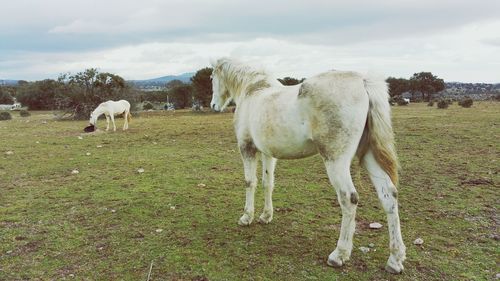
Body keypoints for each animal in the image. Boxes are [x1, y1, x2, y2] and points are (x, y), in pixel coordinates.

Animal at [211, 58, 406, 272]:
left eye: (212, 77)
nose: (213, 105)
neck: (253, 90)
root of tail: (363, 82)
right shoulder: (268, 154)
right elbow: (267, 184)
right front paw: (266, 216)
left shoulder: (247, 149)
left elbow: (249, 183)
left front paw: (246, 217)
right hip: (368, 156)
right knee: (389, 195)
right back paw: (395, 259)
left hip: (336, 161)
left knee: (349, 199)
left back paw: (339, 254)